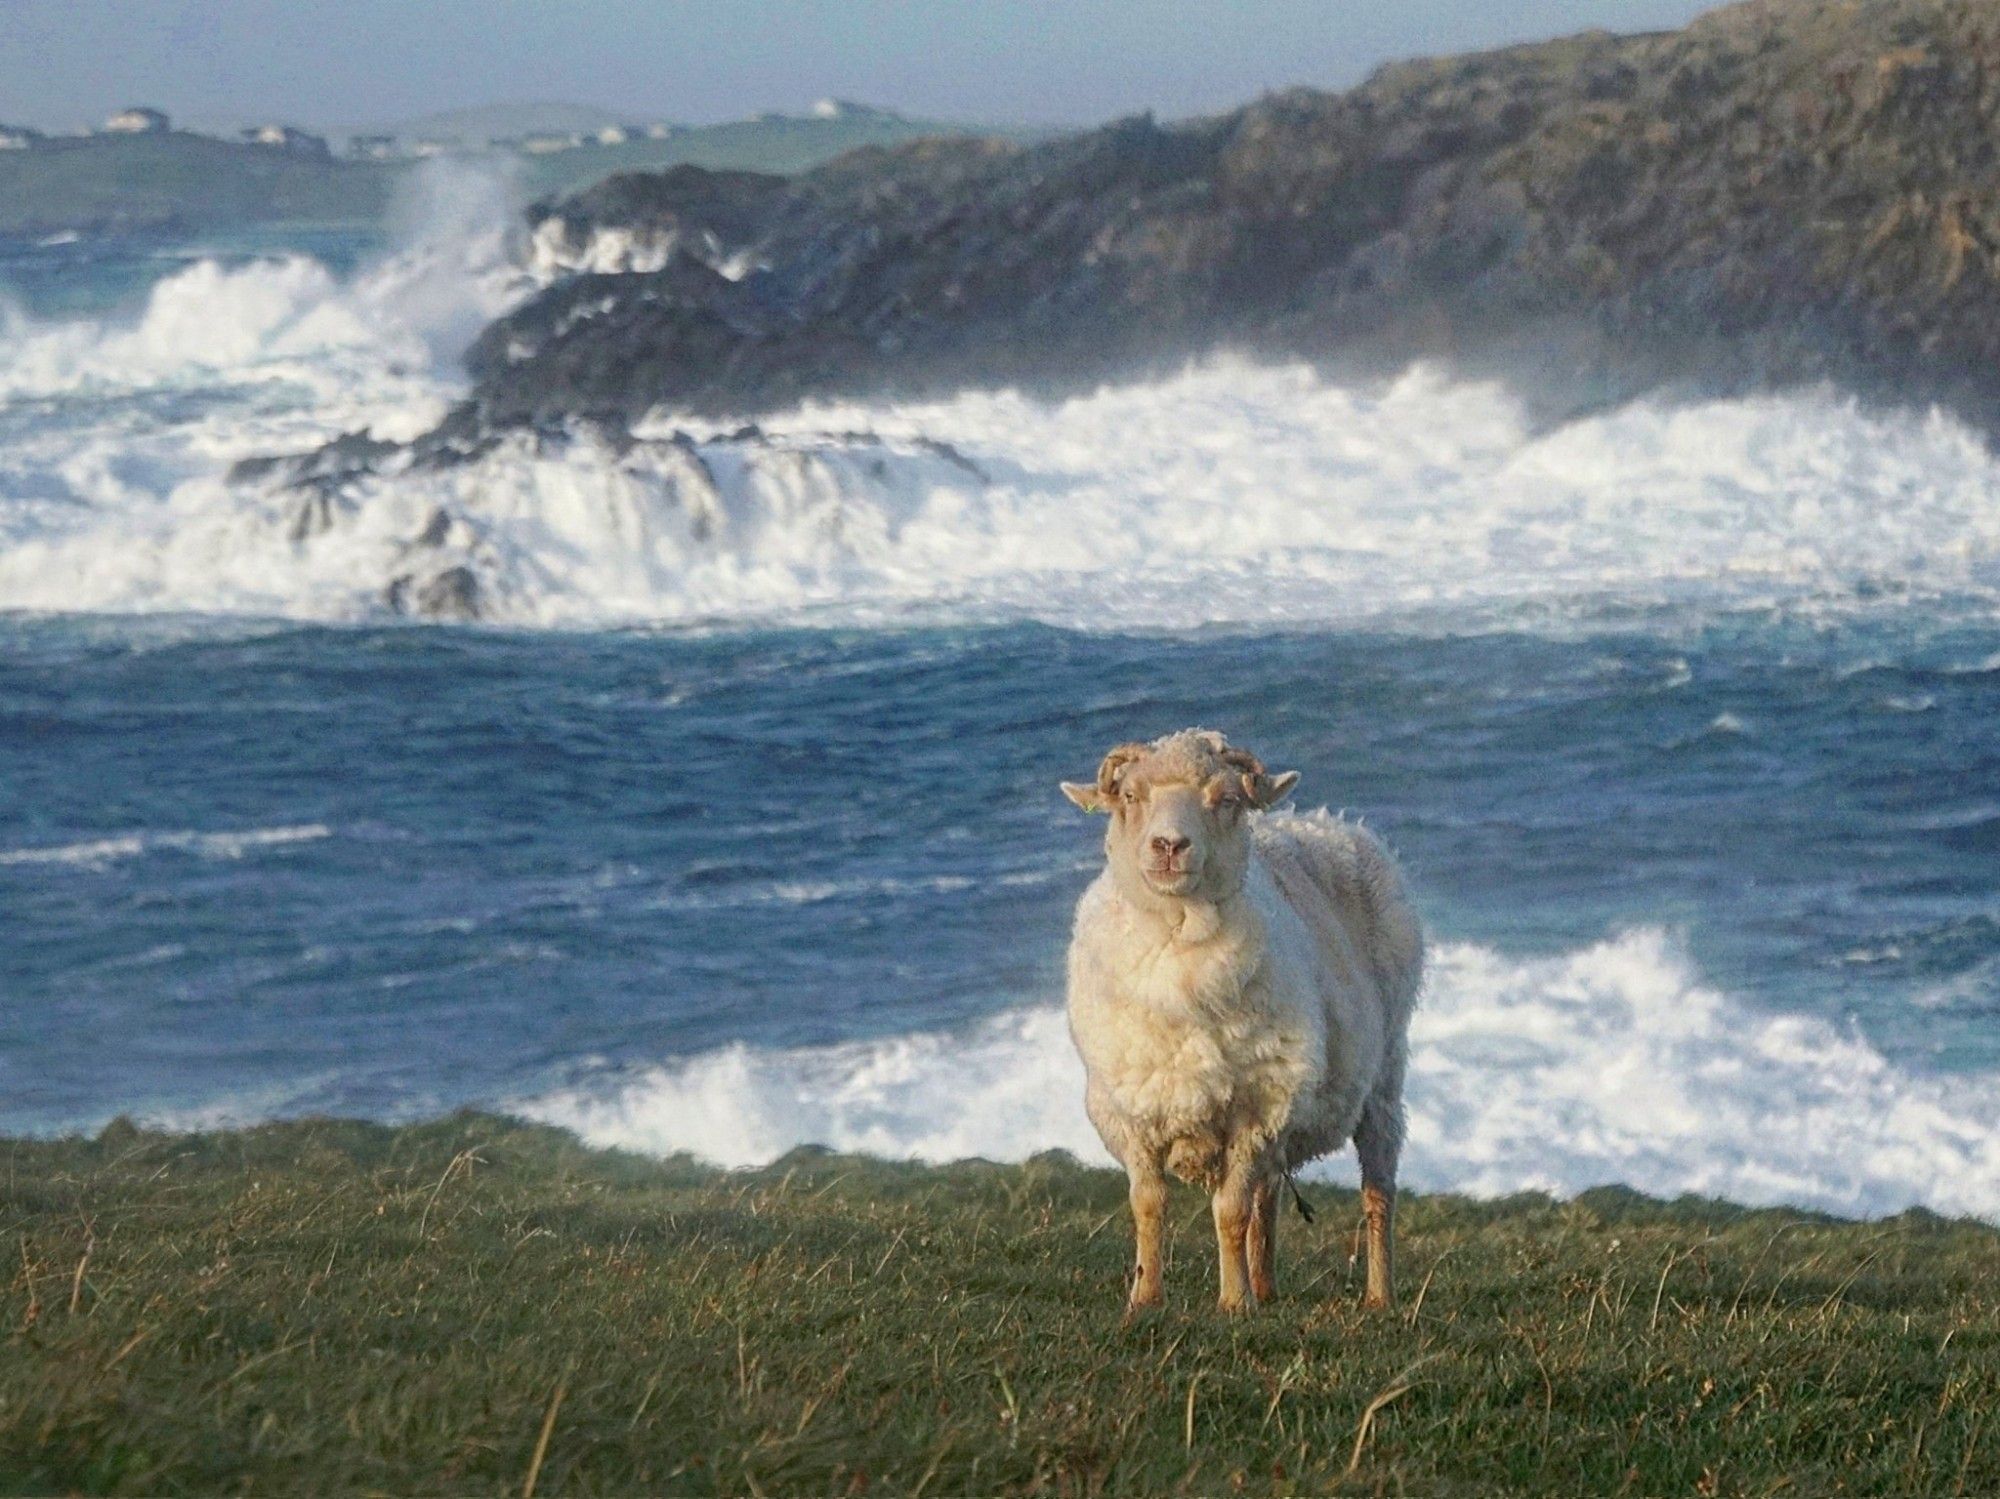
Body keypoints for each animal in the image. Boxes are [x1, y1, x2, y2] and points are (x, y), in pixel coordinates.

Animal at [1064, 731, 1424, 1311]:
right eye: (1130, 796)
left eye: (1226, 799)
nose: (1169, 846)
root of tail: (1330, 821)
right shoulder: (1131, 1110)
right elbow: (1148, 1205)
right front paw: (1145, 1299)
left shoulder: (1256, 1108)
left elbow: (1229, 1212)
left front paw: (1233, 1303)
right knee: (1269, 1195)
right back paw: (1267, 1285)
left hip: (1383, 1079)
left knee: (1377, 1192)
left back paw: (1378, 1295)